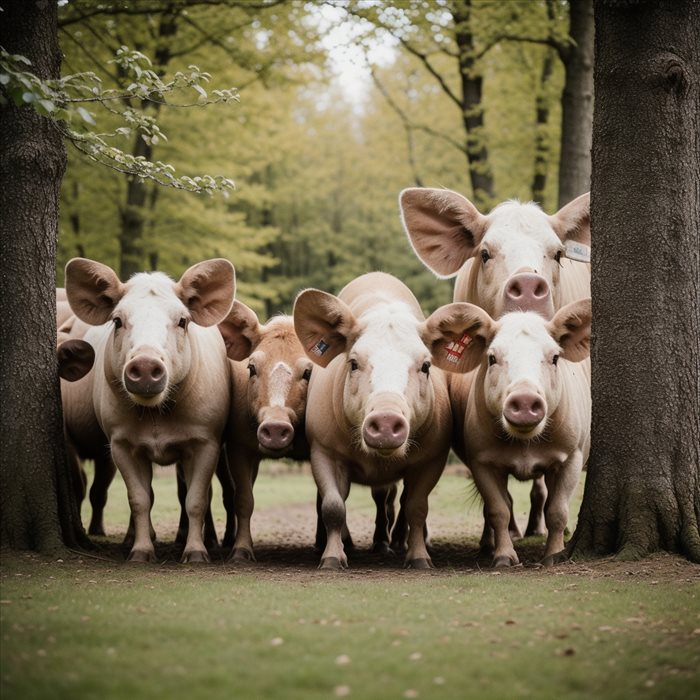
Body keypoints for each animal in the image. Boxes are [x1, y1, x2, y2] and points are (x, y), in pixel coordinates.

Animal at [65, 258, 235, 564]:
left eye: (182, 321)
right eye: (117, 321)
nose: (145, 365)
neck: (156, 415)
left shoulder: (206, 440)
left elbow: (196, 499)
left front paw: (196, 552)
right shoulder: (119, 443)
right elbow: (140, 499)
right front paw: (141, 551)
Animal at [294, 270, 482, 568]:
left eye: (426, 366)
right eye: (353, 363)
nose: (385, 421)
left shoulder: (432, 458)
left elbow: (416, 507)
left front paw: (419, 558)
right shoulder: (323, 449)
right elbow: (333, 506)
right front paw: (332, 557)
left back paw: (389, 542)